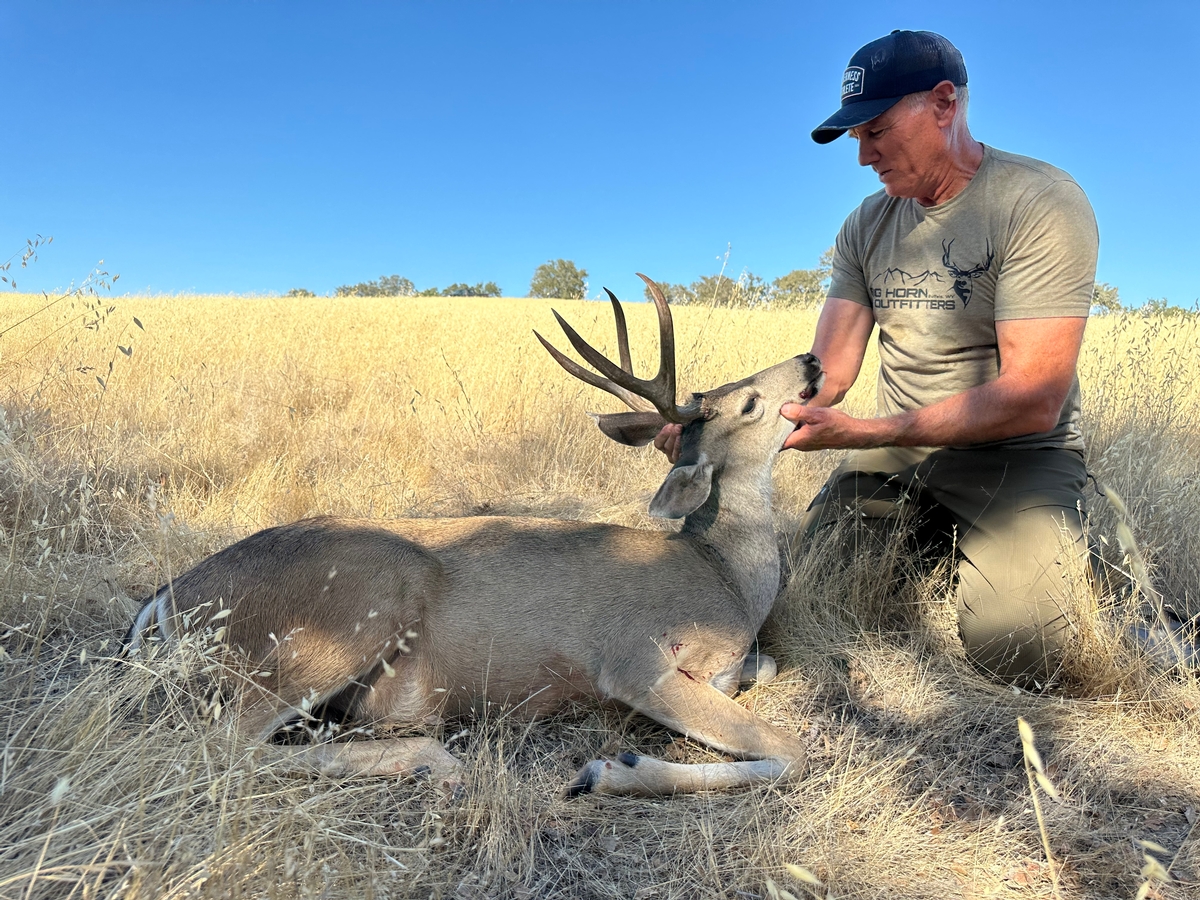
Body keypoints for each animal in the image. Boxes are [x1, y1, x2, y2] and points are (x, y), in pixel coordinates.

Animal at [124, 275, 824, 797]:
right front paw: (609, 769)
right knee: (217, 746)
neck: (727, 576)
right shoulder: (635, 659)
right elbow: (792, 750)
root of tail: (165, 601)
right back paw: (430, 759)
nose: (812, 358)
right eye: (749, 403)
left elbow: (770, 665)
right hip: (347, 615)